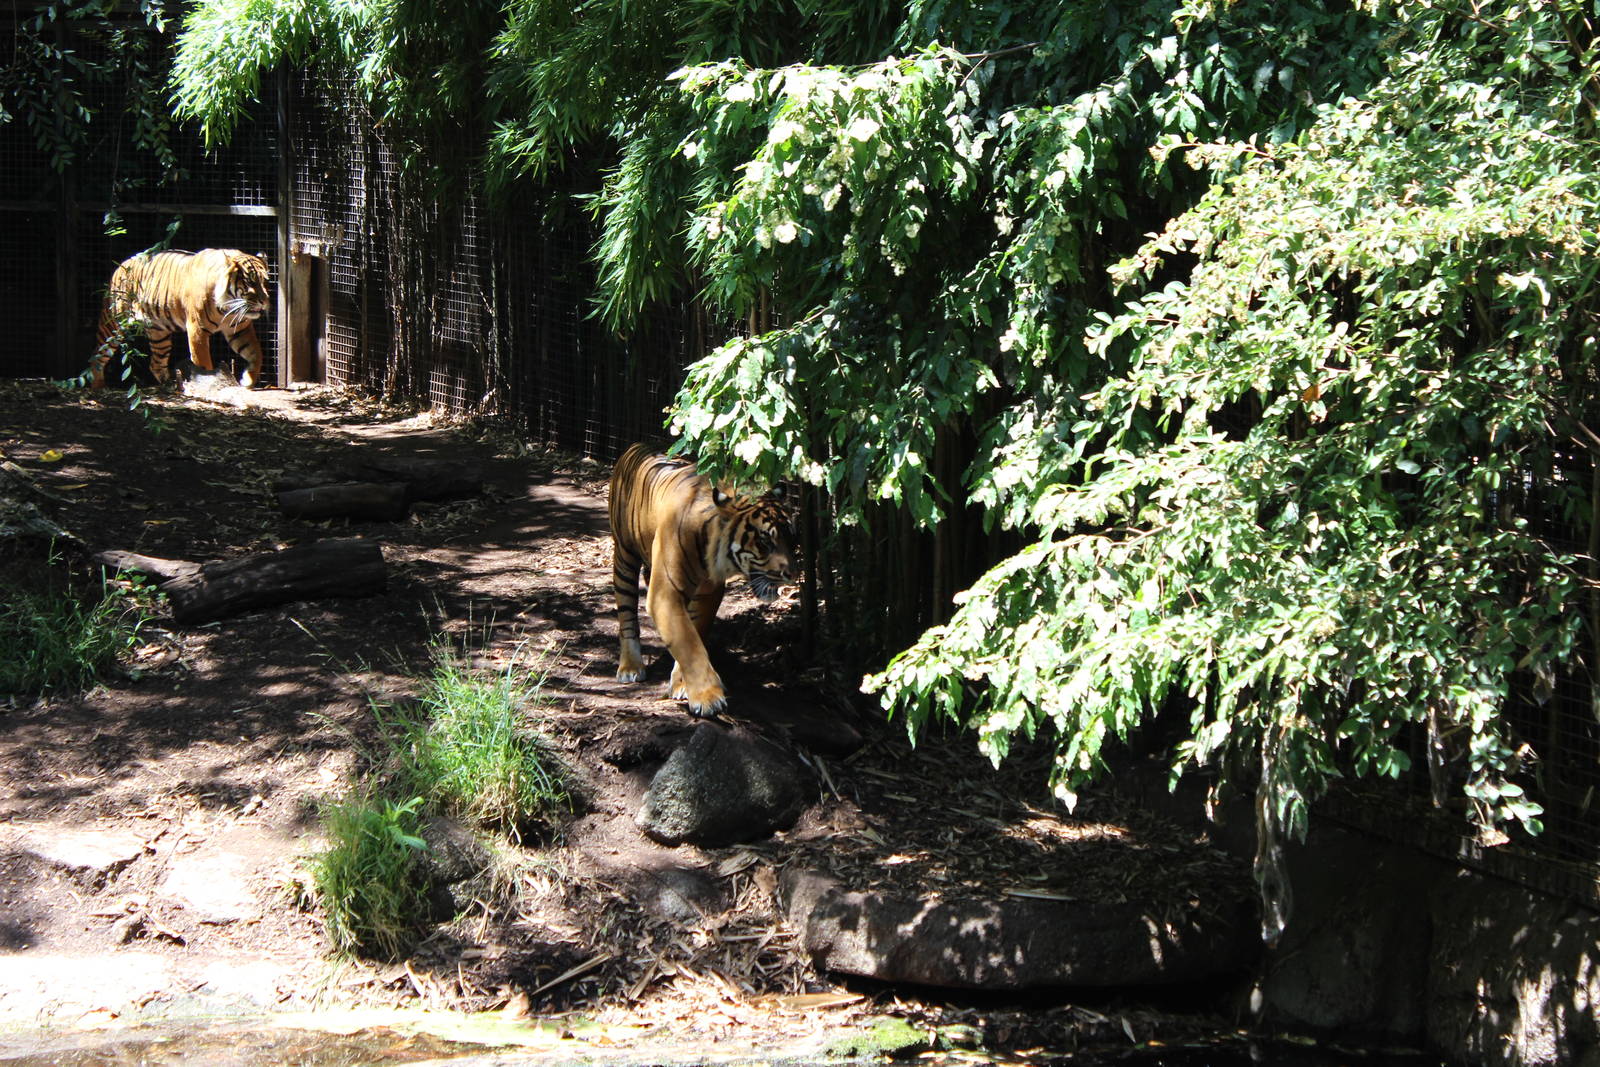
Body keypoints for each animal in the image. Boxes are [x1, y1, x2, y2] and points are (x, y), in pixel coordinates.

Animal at [91, 248, 271, 389]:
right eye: (250, 282)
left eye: (264, 281)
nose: (264, 301)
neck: (228, 307)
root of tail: (121, 264)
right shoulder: (197, 330)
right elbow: (203, 363)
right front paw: (210, 384)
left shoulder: (239, 328)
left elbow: (256, 353)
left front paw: (248, 380)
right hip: (113, 323)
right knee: (98, 354)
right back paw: (98, 387)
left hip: (159, 334)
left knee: (156, 363)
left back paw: (171, 385)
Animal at [608, 443, 798, 717]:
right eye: (764, 541)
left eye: (791, 538)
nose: (792, 574)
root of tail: (636, 446)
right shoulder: (665, 594)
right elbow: (688, 642)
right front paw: (708, 697)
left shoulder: (708, 593)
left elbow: (693, 633)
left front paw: (682, 685)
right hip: (624, 557)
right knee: (626, 615)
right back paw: (630, 667)